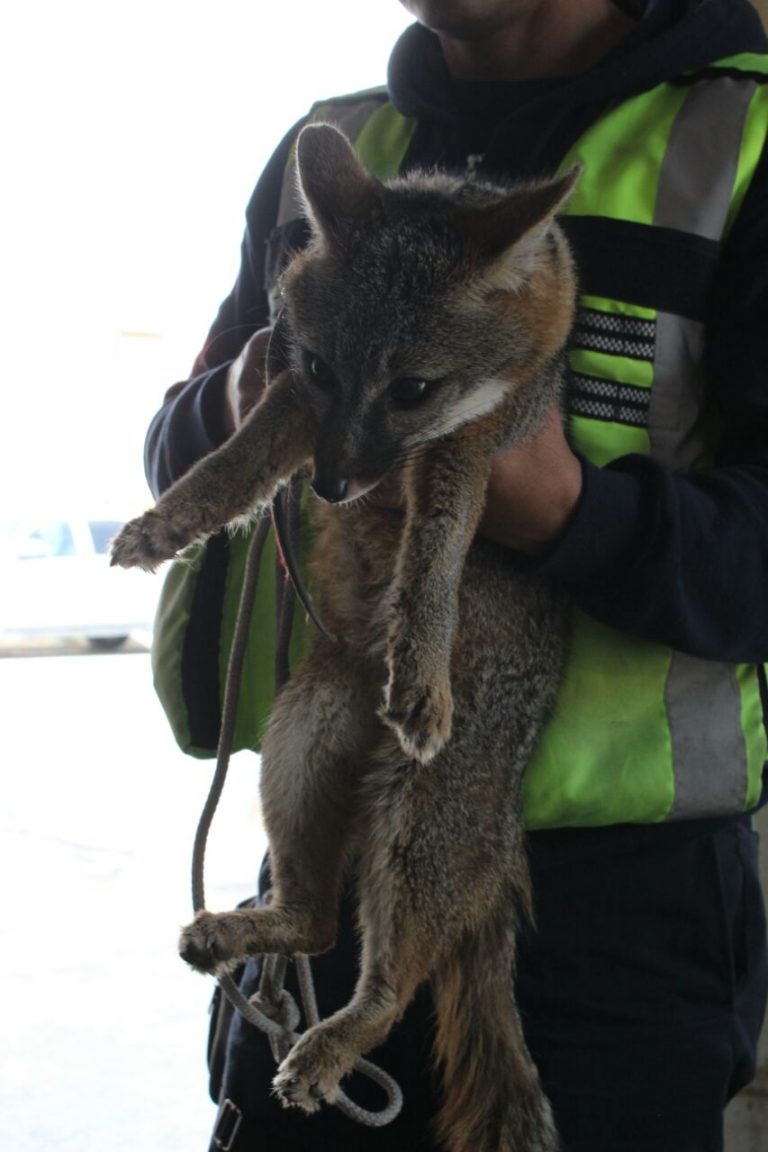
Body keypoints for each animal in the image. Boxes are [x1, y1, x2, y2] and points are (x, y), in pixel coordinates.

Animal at [111, 126, 580, 1152]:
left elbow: (438, 546)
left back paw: (332, 1042)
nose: (329, 488)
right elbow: (235, 458)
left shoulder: (486, 437)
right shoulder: (290, 390)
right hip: (301, 740)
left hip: (414, 822)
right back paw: (258, 937)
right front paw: (169, 523)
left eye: (414, 388)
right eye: (328, 370)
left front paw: (423, 661)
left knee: (396, 984)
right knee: (321, 923)